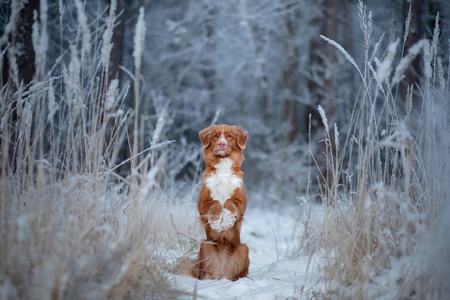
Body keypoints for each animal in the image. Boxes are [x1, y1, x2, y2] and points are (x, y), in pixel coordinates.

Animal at [194, 125, 248, 282]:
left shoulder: (242, 201)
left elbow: (228, 201)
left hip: (244, 248)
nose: (222, 143)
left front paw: (227, 220)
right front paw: (218, 222)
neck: (223, 168)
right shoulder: (202, 202)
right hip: (205, 244)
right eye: (215, 136)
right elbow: (217, 202)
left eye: (229, 136)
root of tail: (222, 274)